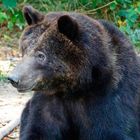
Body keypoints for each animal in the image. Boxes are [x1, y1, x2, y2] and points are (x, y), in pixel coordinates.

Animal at [7, 5, 140, 140]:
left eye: (41, 55)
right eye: (24, 49)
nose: (13, 78)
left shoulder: (110, 97)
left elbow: (113, 129)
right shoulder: (51, 100)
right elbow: (39, 128)